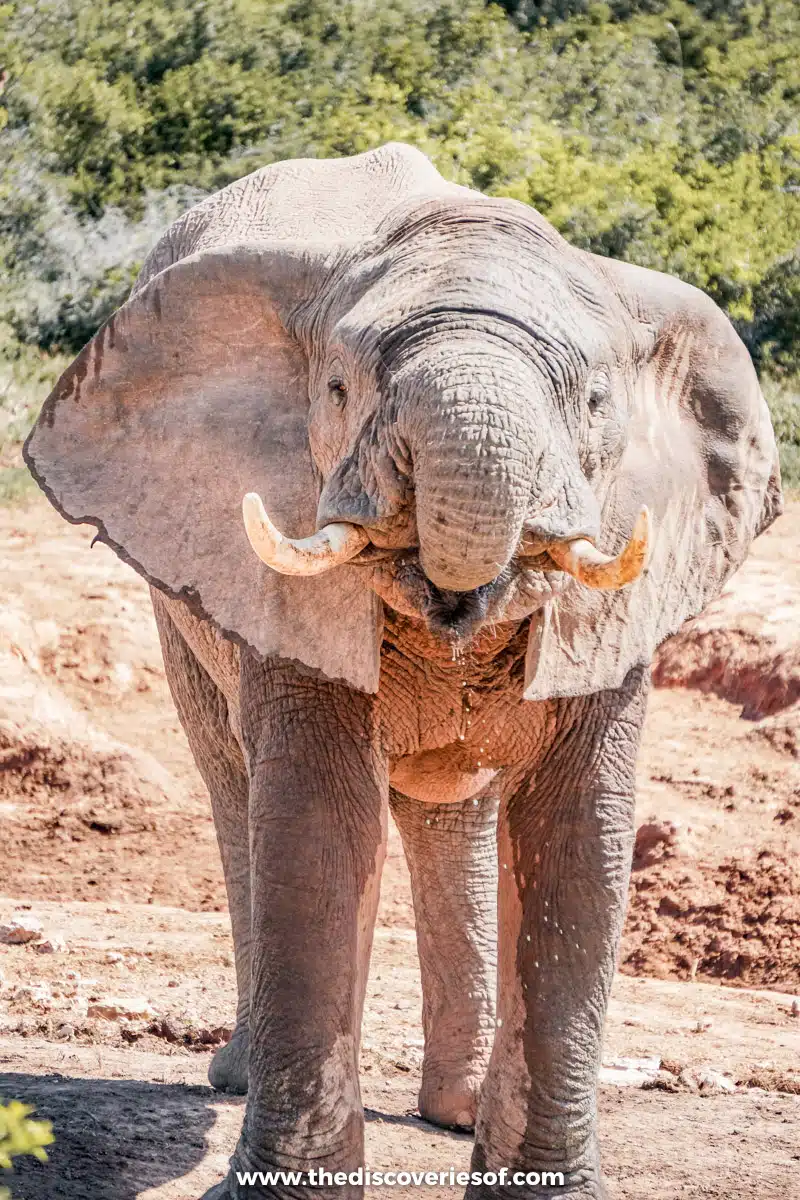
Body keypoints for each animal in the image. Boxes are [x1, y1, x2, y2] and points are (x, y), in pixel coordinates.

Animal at [24, 143, 780, 1198]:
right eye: (339, 392)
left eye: (595, 405)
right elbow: (318, 820)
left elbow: (579, 831)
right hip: (179, 602)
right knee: (237, 785)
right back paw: (241, 1075)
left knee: (449, 815)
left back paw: (452, 1111)